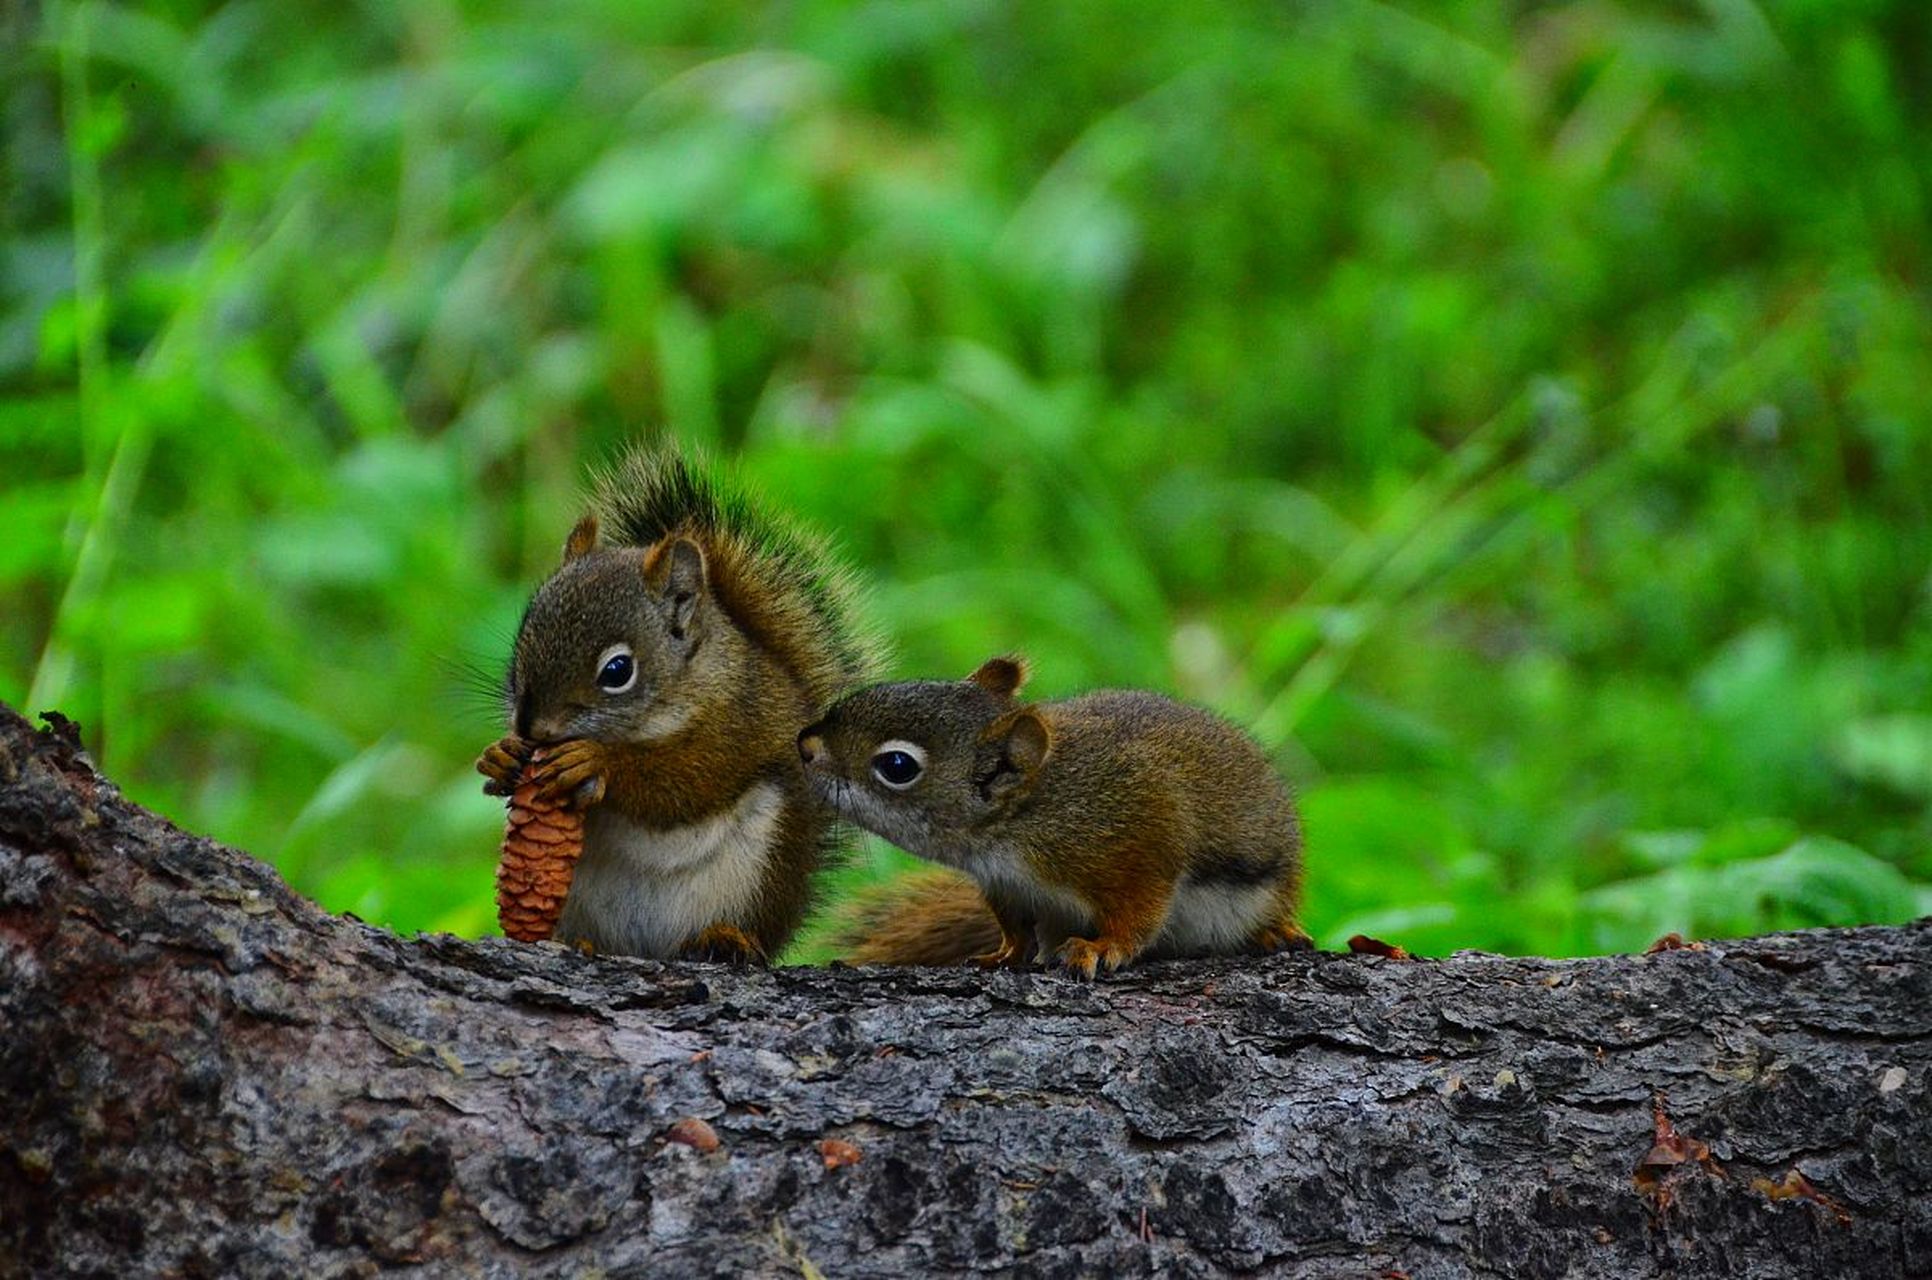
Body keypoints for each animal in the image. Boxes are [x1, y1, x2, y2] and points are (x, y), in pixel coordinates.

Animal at [477, 447, 884, 961]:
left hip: (760, 872)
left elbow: (685, 782)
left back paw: (724, 938)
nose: (531, 728)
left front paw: (596, 762)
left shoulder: (735, 722)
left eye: (617, 671)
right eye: (524, 635)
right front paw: (501, 756)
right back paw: (576, 941)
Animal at [792, 660, 1306, 980]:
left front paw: (1103, 947)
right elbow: (1016, 928)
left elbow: (1138, 913)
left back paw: (1272, 931)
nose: (805, 745)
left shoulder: (1136, 839)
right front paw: (1004, 953)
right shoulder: (1005, 885)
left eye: (897, 766)